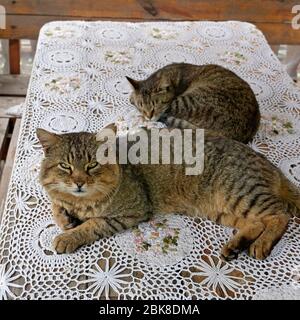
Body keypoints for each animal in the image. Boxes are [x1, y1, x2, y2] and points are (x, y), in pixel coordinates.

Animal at [37, 126, 300, 262]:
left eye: (92, 165)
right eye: (65, 166)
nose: (79, 182)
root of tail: (269, 164)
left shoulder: (132, 211)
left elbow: (92, 224)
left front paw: (68, 236)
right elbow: (55, 202)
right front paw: (65, 218)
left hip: (239, 194)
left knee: (280, 215)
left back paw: (262, 244)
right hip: (224, 209)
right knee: (257, 222)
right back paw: (236, 245)